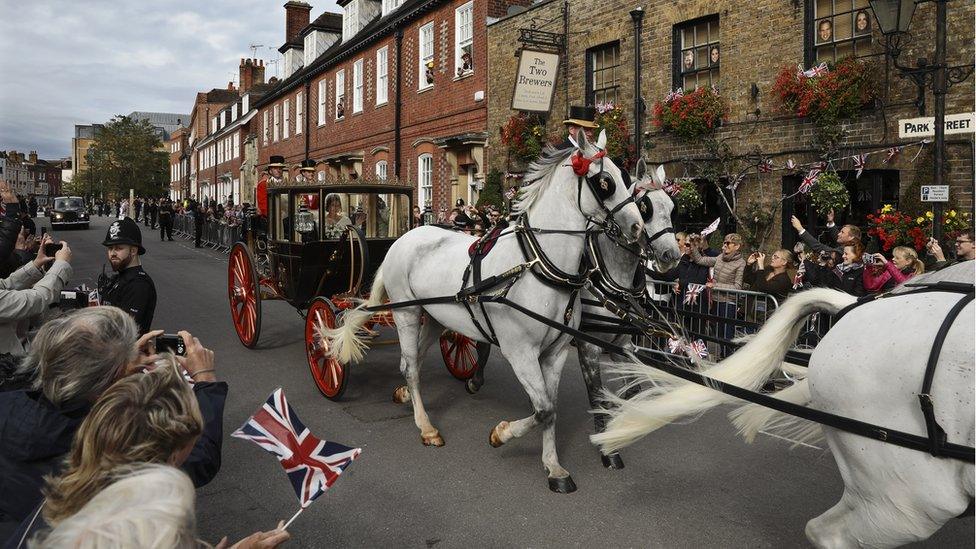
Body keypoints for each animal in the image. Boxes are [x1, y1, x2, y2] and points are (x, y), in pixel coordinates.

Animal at [322, 130, 648, 492]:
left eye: (628, 180)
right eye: (604, 182)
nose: (638, 229)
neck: (539, 267)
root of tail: (405, 238)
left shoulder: (556, 352)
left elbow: (551, 408)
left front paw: (553, 468)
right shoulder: (520, 351)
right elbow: (543, 409)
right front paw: (501, 434)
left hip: (434, 317)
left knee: (411, 362)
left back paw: (406, 395)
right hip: (406, 313)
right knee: (412, 368)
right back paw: (426, 427)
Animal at [580, 159, 680, 466]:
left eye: (672, 206)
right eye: (645, 206)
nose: (672, 256)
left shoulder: (623, 345)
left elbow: (631, 390)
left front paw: (619, 427)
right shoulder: (588, 345)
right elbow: (597, 395)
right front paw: (607, 451)